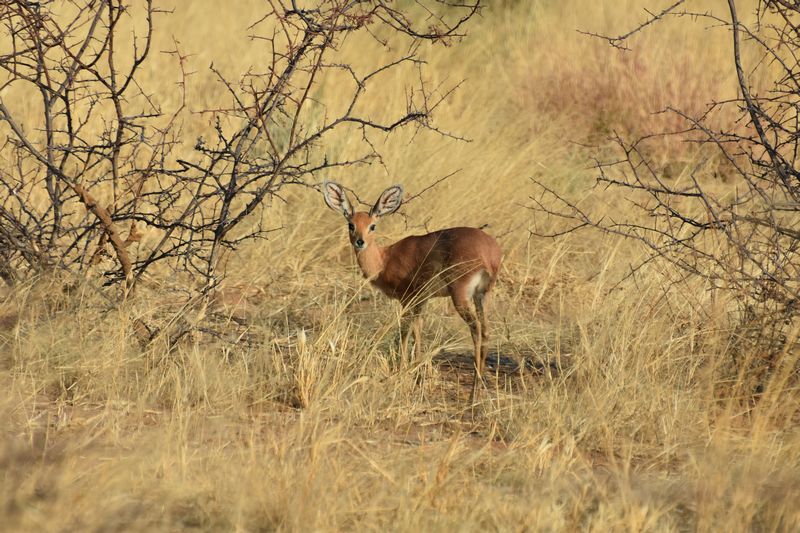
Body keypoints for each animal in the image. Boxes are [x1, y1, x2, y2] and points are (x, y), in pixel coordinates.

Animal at [322, 181, 504, 402]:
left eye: (372, 225)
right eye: (351, 224)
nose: (360, 242)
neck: (384, 260)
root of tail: (490, 254)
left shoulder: (407, 300)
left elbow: (404, 333)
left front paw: (400, 374)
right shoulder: (420, 301)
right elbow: (418, 332)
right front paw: (417, 377)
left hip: (460, 296)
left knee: (475, 328)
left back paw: (473, 394)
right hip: (482, 296)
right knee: (486, 330)